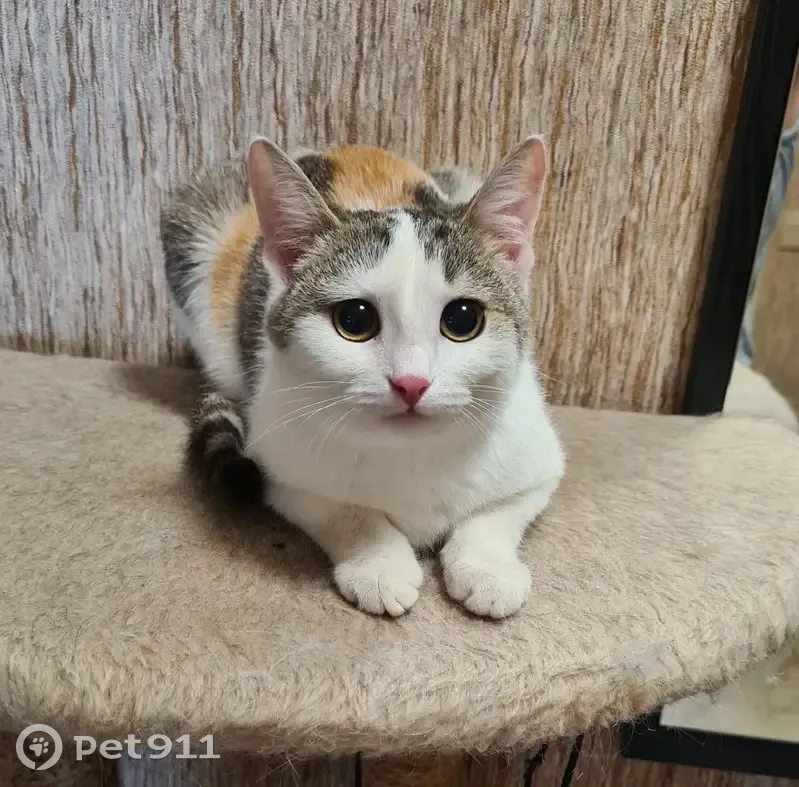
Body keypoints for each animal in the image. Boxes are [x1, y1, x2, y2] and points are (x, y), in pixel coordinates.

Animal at [161, 137, 565, 618]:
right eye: (354, 319)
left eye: (463, 319)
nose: (411, 382)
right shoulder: (278, 465)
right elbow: (342, 511)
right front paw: (379, 564)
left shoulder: (539, 458)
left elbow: (500, 511)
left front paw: (485, 568)